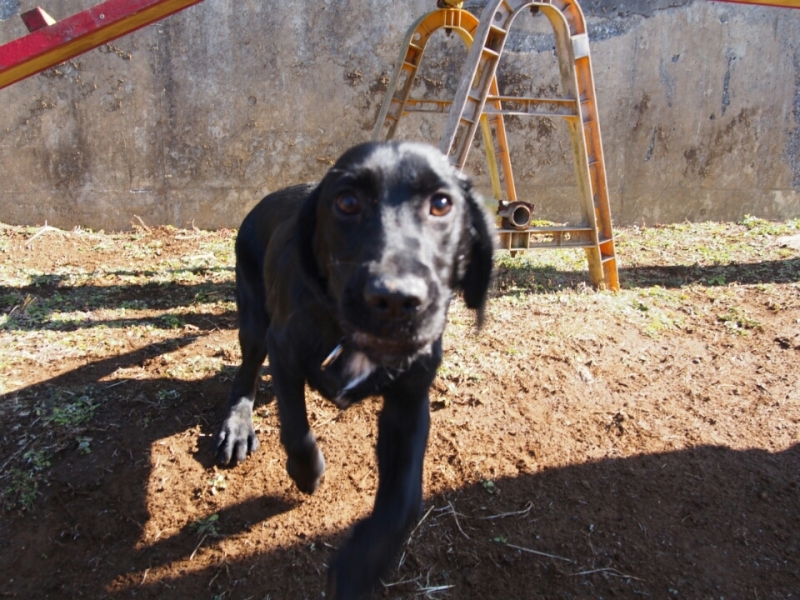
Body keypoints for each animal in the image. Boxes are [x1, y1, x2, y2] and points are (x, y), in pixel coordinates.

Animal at [216, 141, 496, 596]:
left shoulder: (409, 401)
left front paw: (360, 566)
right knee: (245, 373)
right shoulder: (283, 349)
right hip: (254, 319)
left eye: (441, 204)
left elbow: (404, 500)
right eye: (347, 202)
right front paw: (306, 475)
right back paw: (236, 428)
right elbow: (296, 430)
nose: (396, 300)